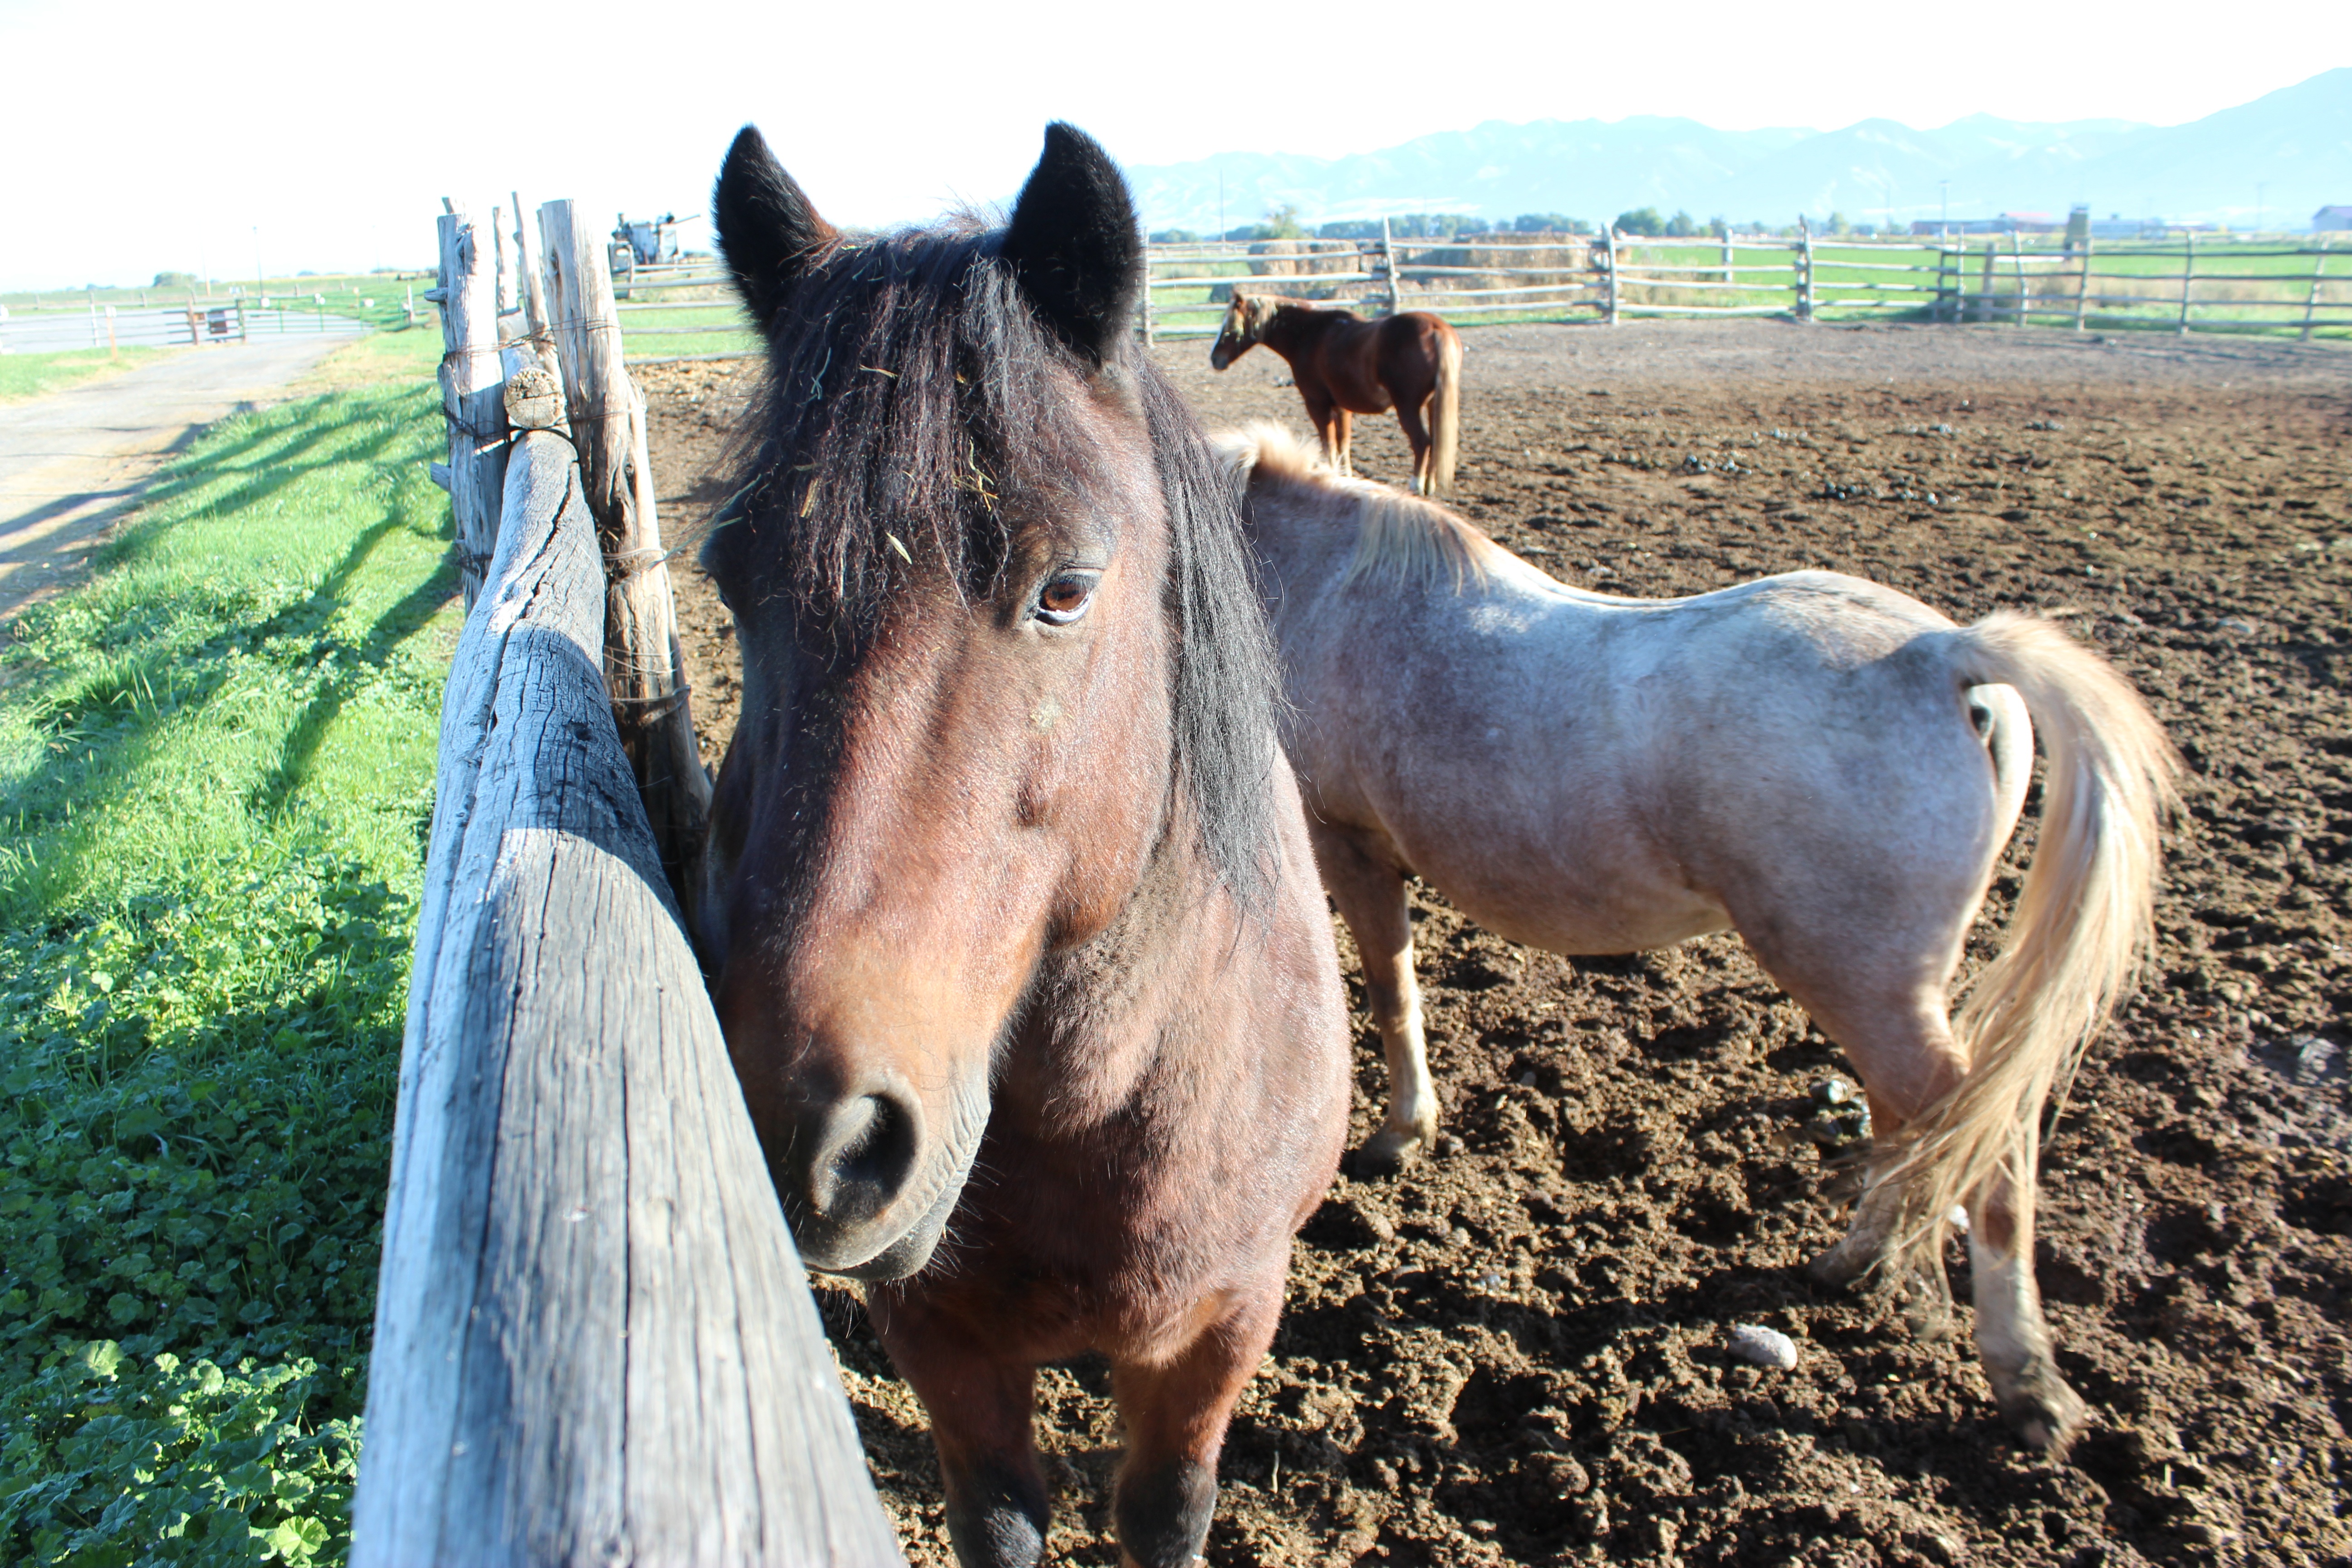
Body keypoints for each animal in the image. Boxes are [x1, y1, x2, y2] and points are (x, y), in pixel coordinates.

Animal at [696, 126, 1354, 1568]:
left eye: (1065, 590)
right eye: (730, 580)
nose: (809, 1134)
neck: (1107, 1102)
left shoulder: (1220, 1326)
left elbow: (1165, 1513)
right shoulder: (945, 1342)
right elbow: (997, 1519)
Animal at [1204, 291, 1458, 494]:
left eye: (1232, 326)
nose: (1215, 359)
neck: (1310, 335)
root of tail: (1436, 328)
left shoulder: (1317, 405)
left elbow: (1329, 445)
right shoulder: (1342, 407)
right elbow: (1344, 443)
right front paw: (1345, 476)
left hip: (1407, 406)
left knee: (1422, 441)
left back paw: (1416, 485)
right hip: (1433, 405)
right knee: (1435, 441)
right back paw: (1430, 484)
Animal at [1223, 423, 2173, 1457]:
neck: (1319, 585)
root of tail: (1945, 654)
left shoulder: (1347, 849)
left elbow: (1391, 994)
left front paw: (1400, 1132)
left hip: (1857, 980)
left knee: (1988, 1154)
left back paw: (2026, 1383)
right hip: (1887, 987)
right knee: (1909, 1122)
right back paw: (1856, 1264)